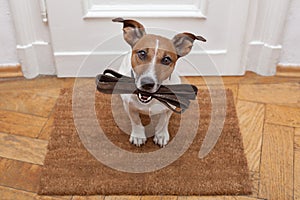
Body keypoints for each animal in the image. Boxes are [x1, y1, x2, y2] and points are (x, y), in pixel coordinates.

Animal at [113, 17, 206, 147]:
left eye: (166, 60)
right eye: (142, 53)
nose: (147, 83)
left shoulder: (170, 107)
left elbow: (164, 121)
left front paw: (161, 135)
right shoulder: (129, 106)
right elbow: (136, 120)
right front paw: (138, 135)